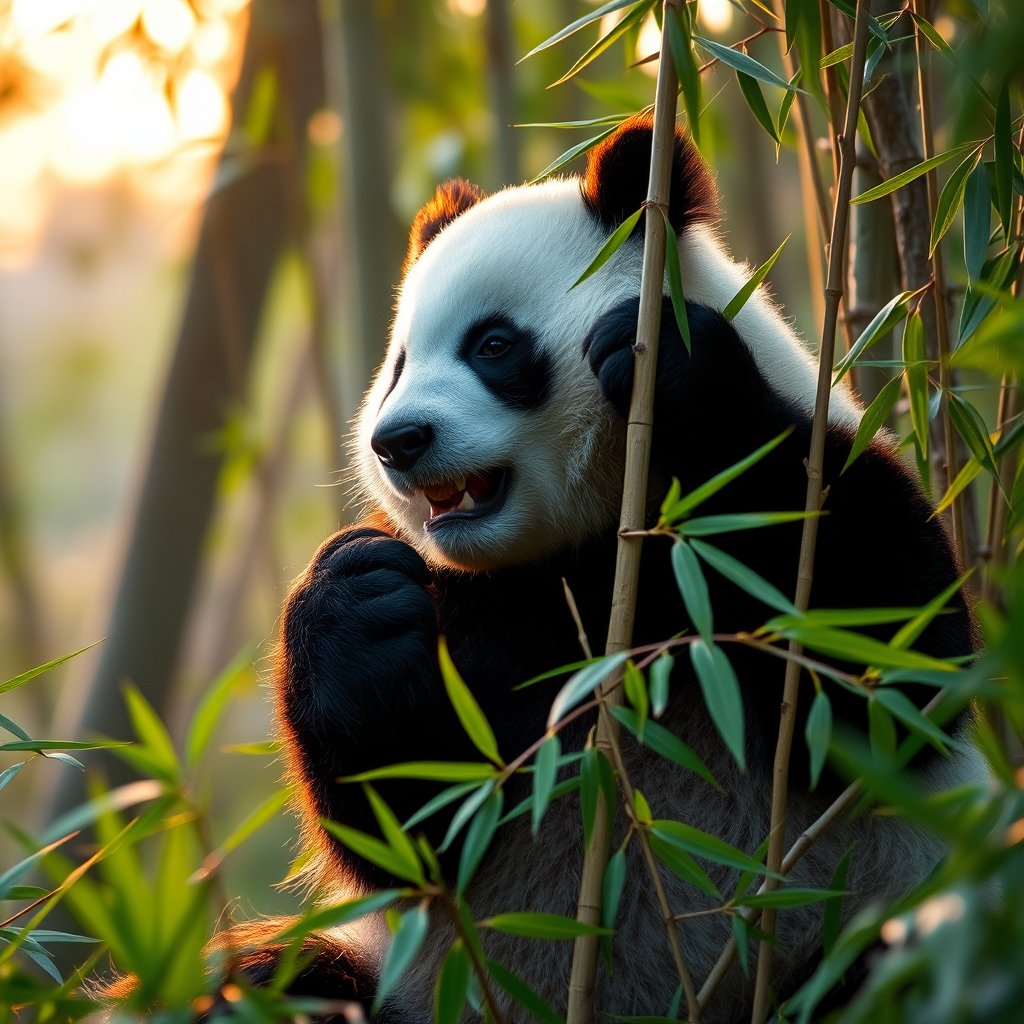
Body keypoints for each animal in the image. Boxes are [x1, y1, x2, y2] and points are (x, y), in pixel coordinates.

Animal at [230, 117, 979, 1023]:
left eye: (492, 345)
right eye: (400, 364)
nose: (397, 440)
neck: (592, 549)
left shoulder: (824, 476)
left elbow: (885, 682)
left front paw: (680, 369)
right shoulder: (482, 607)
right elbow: (416, 822)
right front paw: (358, 602)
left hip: (870, 925)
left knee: (892, 974)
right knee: (269, 982)